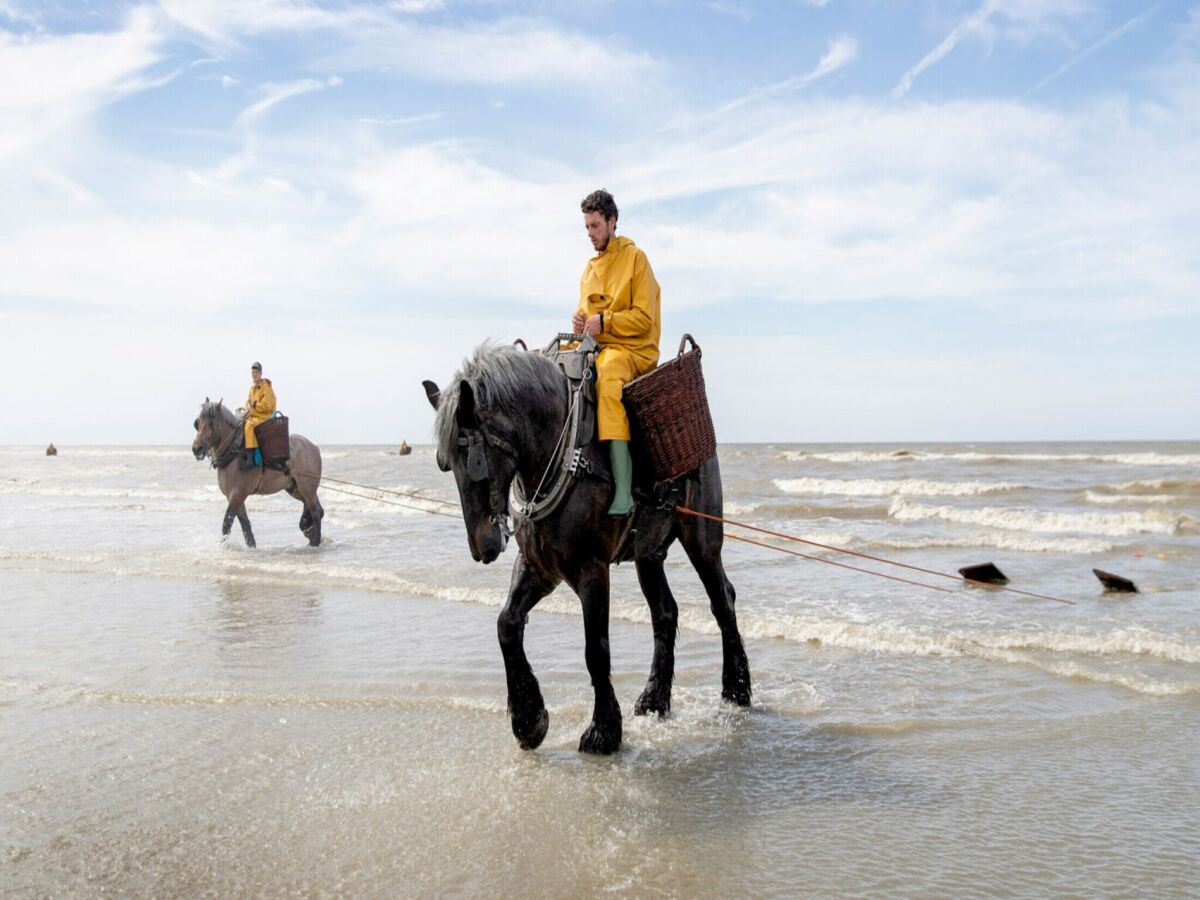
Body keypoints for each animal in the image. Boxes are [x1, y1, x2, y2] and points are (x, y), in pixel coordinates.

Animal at [187, 400, 321, 549]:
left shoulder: (238, 493)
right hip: (295, 488)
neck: (234, 453)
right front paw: (251, 545)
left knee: (315, 511)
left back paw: (314, 541)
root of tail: (314, 447)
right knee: (314, 509)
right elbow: (244, 522)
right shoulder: (232, 495)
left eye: (211, 422)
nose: (197, 448)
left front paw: (224, 545)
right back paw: (309, 531)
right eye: (198, 422)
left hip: (306, 487)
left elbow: (227, 521)